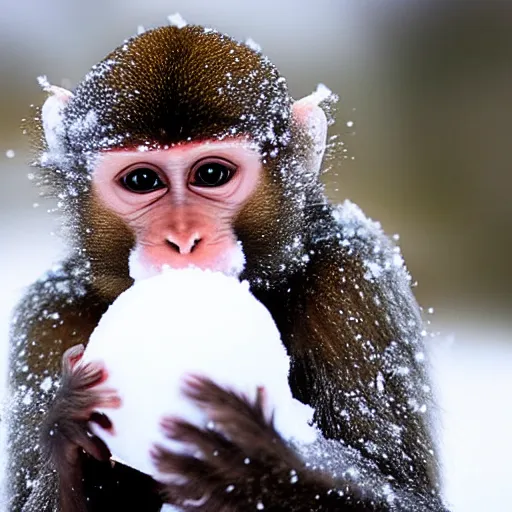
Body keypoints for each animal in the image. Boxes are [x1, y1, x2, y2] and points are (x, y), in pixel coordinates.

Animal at [6, 22, 450, 510]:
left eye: (211, 174)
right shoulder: (47, 320)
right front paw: (70, 428)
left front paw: (258, 468)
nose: (183, 240)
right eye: (143, 180)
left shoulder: (354, 284)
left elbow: (414, 497)